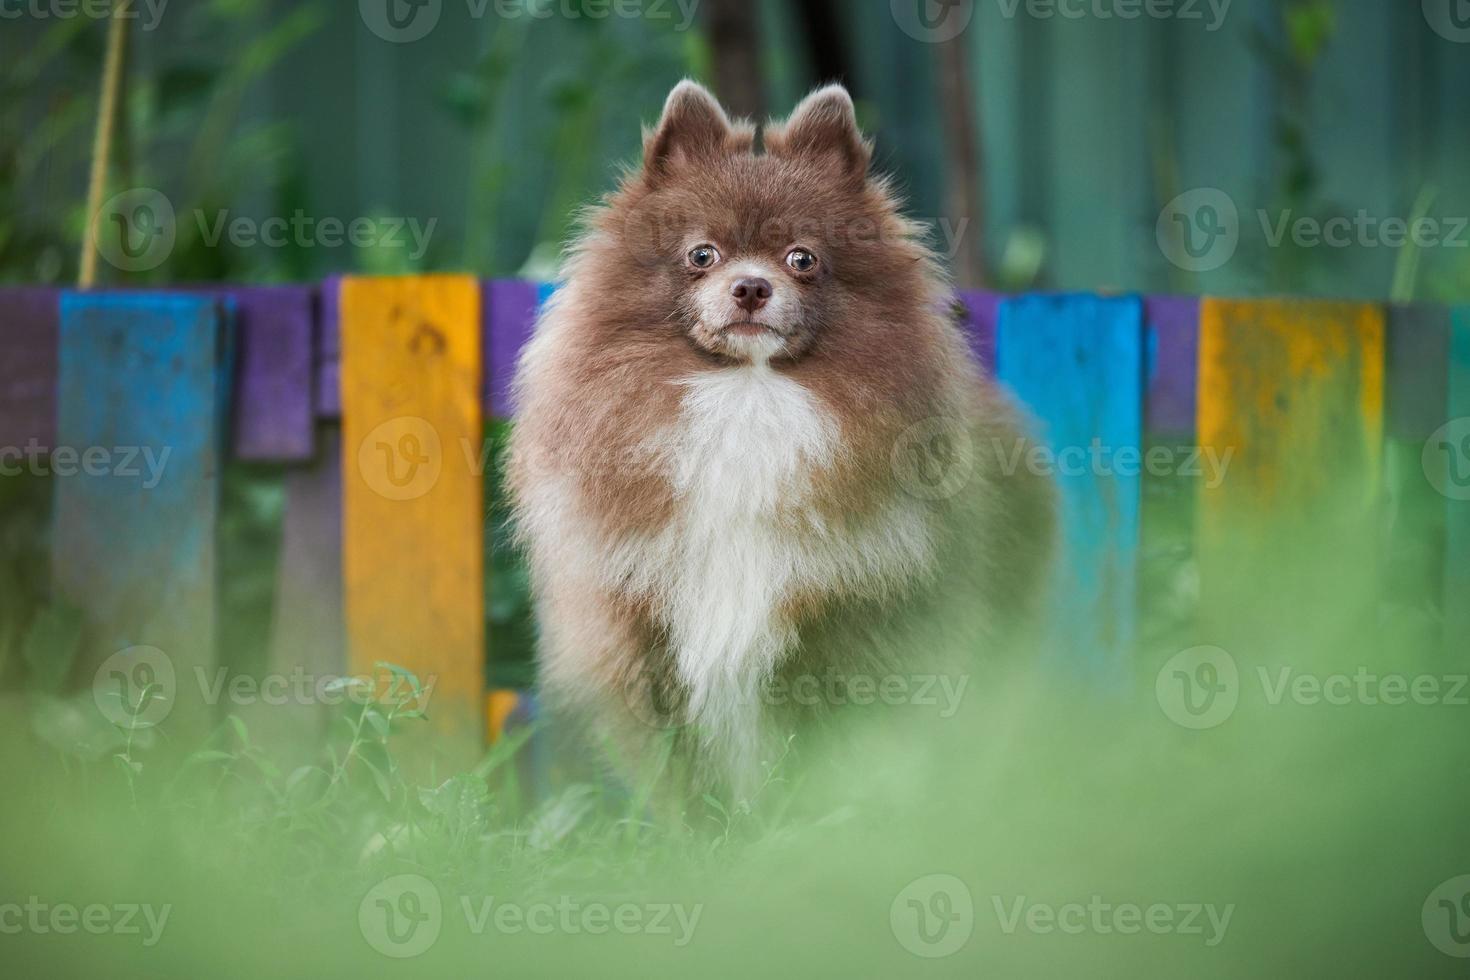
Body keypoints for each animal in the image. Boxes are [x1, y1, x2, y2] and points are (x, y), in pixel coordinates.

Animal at [511, 80, 1052, 799]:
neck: (748, 398)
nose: (750, 286)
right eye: (701, 255)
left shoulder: (849, 627)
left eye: (803, 258)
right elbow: (685, 778)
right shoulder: (644, 631)